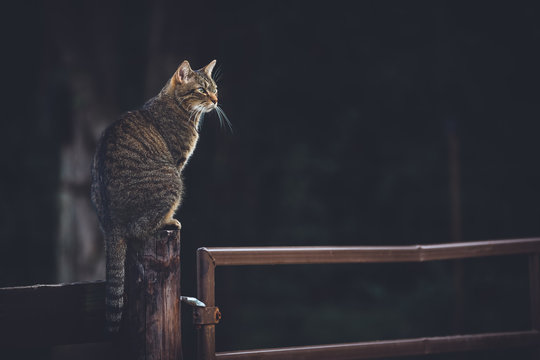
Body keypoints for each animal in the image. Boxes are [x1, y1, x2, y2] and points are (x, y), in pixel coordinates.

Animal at [90, 59, 221, 334]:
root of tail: (111, 225)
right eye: (201, 90)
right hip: (172, 181)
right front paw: (172, 218)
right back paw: (168, 222)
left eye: (215, 88)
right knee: (142, 228)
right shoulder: (178, 162)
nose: (216, 100)